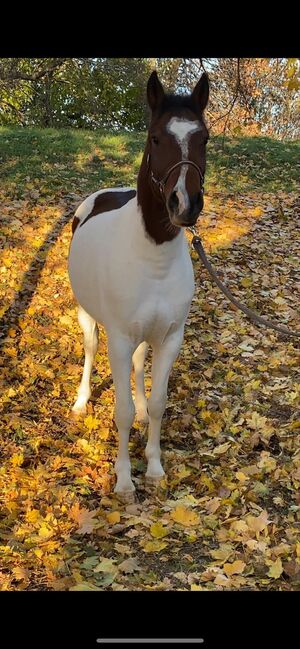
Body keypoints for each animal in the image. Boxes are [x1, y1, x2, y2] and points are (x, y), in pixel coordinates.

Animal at [68, 71, 209, 496]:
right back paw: (81, 401)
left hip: (146, 335)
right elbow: (121, 411)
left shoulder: (170, 337)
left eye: (204, 138)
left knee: (138, 364)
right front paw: (125, 479)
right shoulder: (118, 338)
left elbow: (160, 402)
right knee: (90, 349)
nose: (185, 204)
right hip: (88, 317)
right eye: (156, 138)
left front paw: (155, 467)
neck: (153, 260)